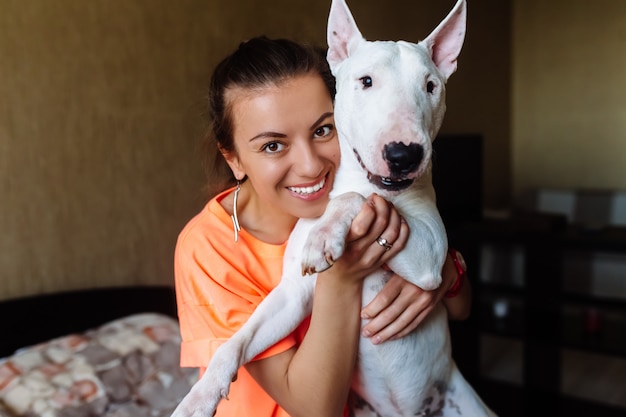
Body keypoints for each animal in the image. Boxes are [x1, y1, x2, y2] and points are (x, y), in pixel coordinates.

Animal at [171, 0, 492, 414]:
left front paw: (324, 234)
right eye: (366, 81)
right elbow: (236, 341)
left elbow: (356, 199)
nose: (404, 155)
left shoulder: (430, 255)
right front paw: (199, 395)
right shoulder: (292, 295)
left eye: (431, 86)